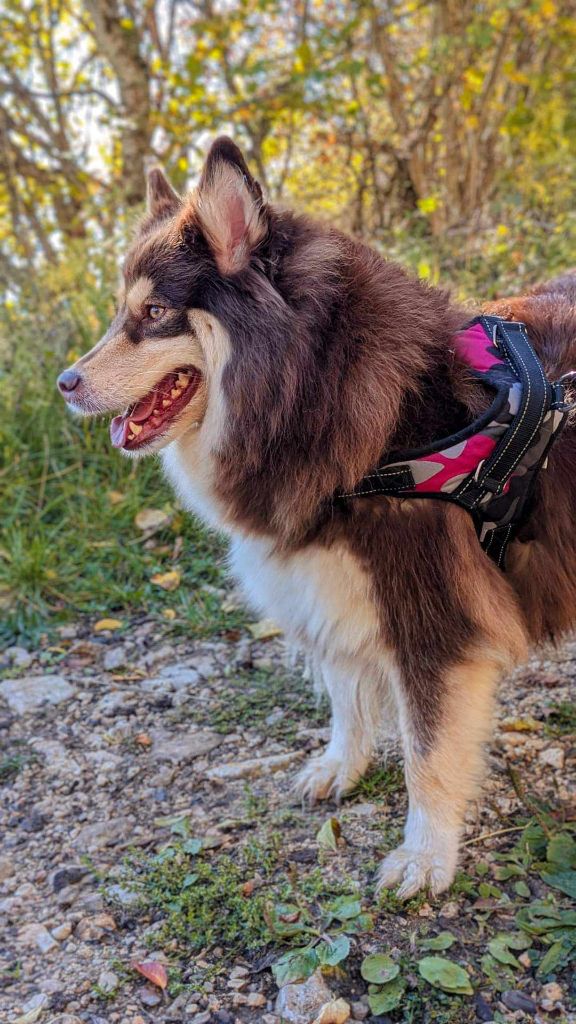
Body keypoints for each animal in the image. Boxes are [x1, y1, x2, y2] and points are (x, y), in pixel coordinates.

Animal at [57, 137, 576, 898]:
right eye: (123, 311)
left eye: (153, 313)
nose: (65, 384)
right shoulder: (327, 585)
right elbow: (344, 693)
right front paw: (342, 765)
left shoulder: (435, 615)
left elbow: (427, 752)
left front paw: (425, 855)